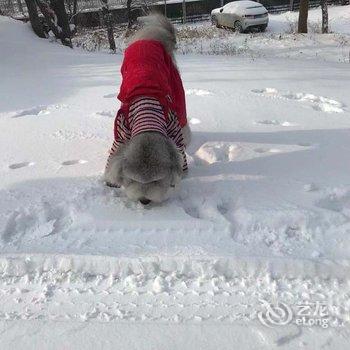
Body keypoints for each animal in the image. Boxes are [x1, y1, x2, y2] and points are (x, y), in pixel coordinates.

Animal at [104, 14, 191, 205]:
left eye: (157, 180)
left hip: (176, 87)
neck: (148, 119)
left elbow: (180, 150)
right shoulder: (121, 130)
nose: (144, 201)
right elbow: (114, 154)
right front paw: (109, 179)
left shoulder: (173, 128)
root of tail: (151, 38)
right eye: (132, 180)